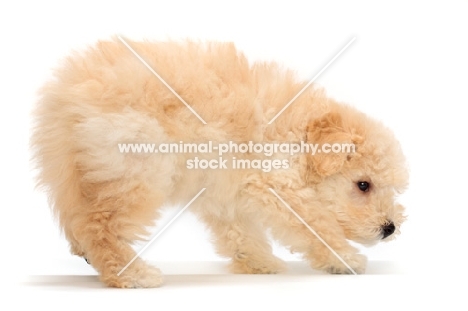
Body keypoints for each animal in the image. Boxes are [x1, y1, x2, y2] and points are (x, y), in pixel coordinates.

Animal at [31, 38, 408, 288]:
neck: (299, 135)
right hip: (139, 170)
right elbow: (317, 225)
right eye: (363, 185)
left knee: (77, 216)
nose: (389, 228)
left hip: (78, 170)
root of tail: (66, 97)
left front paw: (261, 263)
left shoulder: (229, 193)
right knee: (99, 225)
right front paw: (344, 258)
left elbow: (241, 234)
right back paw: (133, 274)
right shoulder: (279, 187)